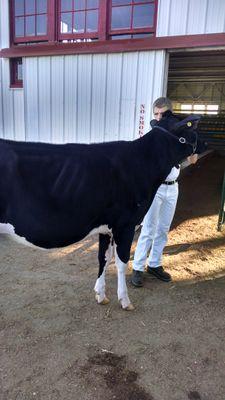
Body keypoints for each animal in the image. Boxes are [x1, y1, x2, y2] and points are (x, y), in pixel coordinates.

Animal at [0, 111, 206, 310]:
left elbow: (104, 258)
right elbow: (122, 261)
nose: (205, 142)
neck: (142, 163)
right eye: (189, 126)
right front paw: (125, 300)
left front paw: (101, 295)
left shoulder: (106, 227)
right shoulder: (125, 225)